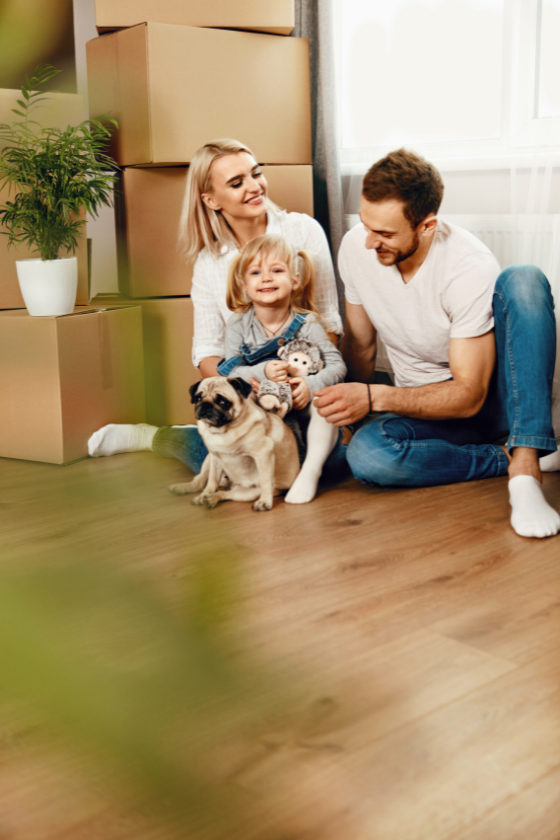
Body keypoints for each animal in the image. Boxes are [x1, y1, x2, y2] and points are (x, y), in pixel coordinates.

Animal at [170, 376, 302, 508]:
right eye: (198, 398)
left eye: (223, 402)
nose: (206, 405)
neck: (222, 430)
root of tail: (230, 484)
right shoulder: (215, 457)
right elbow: (212, 480)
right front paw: (206, 494)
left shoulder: (263, 453)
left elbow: (265, 481)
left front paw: (265, 501)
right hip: (208, 459)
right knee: (200, 481)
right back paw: (192, 492)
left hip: (250, 492)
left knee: (225, 493)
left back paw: (212, 498)